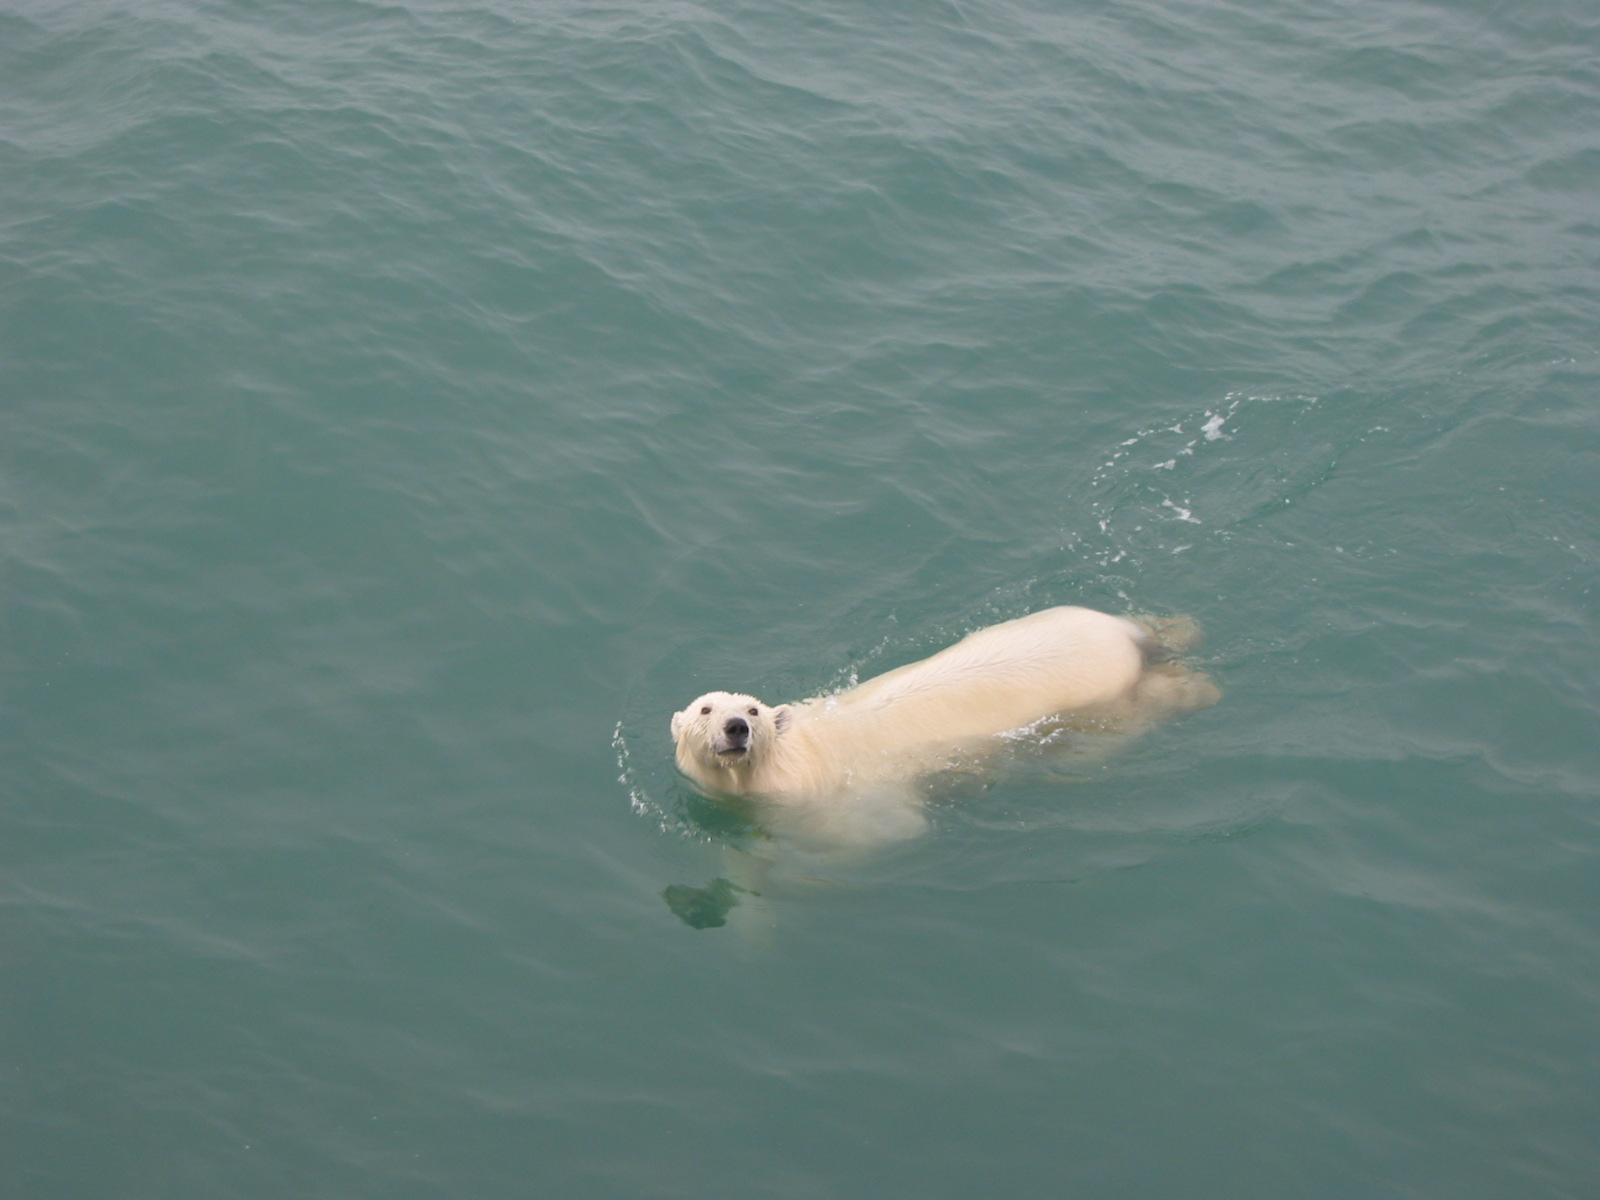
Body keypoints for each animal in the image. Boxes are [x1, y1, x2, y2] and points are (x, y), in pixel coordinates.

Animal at [670, 606, 1219, 850]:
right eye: (705, 710)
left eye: (753, 710)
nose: (736, 727)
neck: (797, 759)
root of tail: (1124, 638)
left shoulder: (850, 800)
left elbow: (886, 831)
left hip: (1104, 702)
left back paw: (1201, 687)